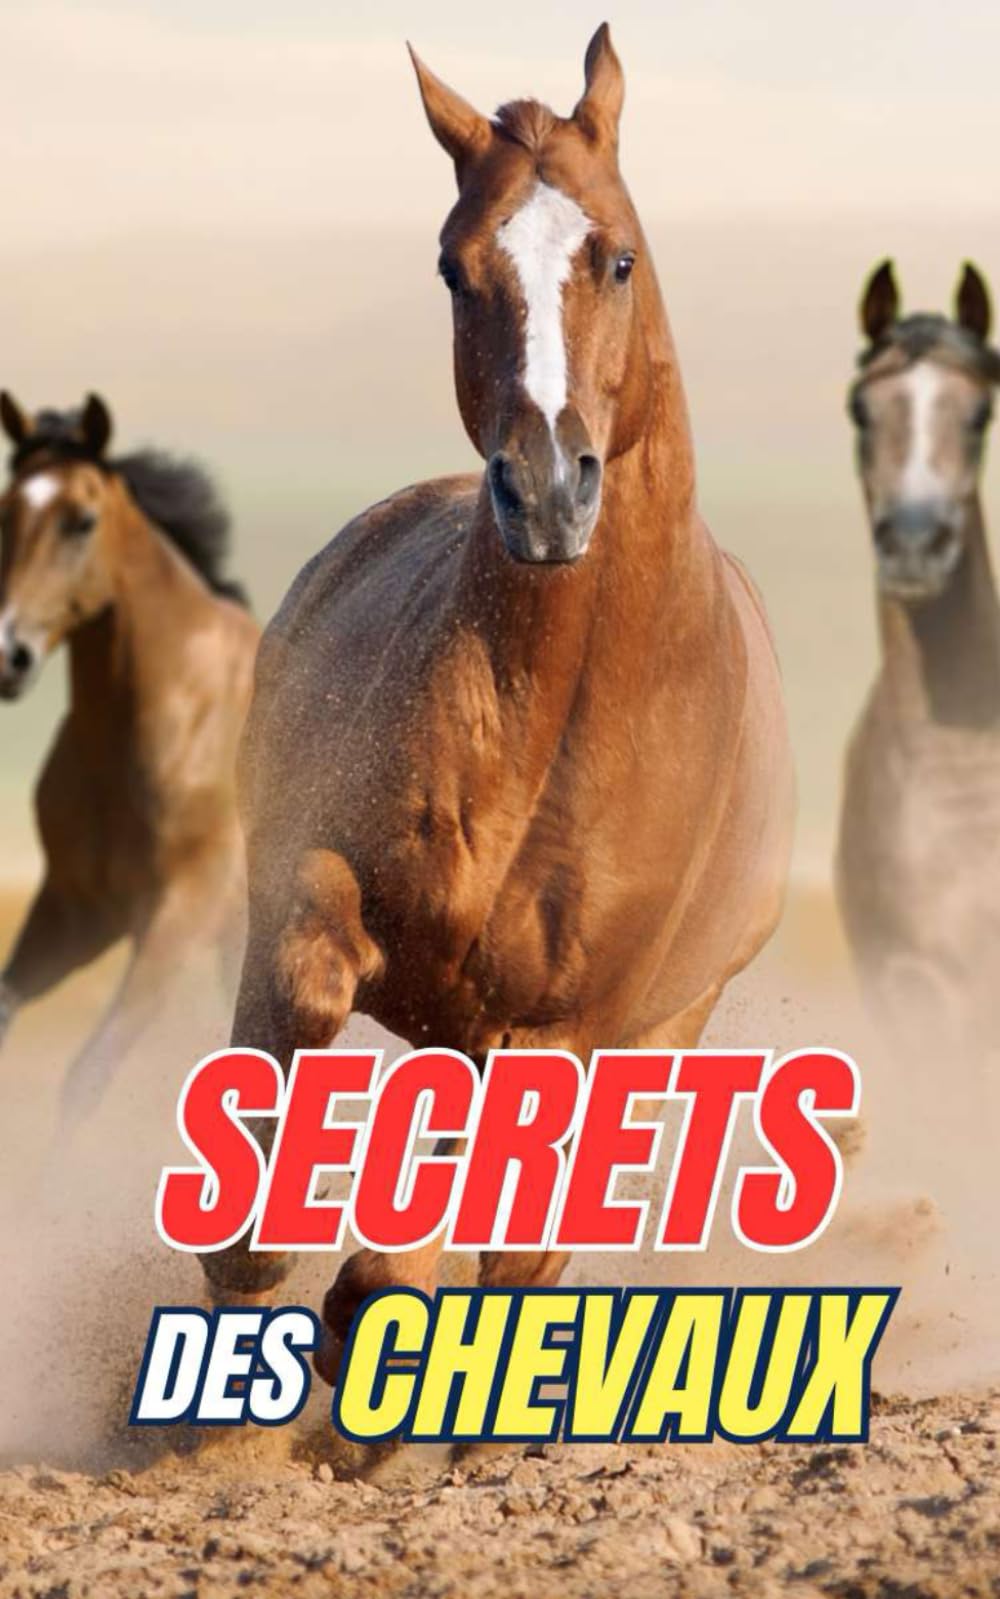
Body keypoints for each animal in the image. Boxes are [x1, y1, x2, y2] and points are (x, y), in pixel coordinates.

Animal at [0, 393, 259, 1122]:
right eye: (5, 510)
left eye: (81, 521)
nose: (9, 654)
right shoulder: (77, 910)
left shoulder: (176, 916)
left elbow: (88, 1074)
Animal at [200, 25, 794, 1383]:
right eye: (452, 267)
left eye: (615, 256)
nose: (546, 492)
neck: (557, 718)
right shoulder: (313, 881)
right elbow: (304, 986)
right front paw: (265, 1271)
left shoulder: (568, 1026)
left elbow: (470, 1226)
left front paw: (368, 1305)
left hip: (654, 1028)